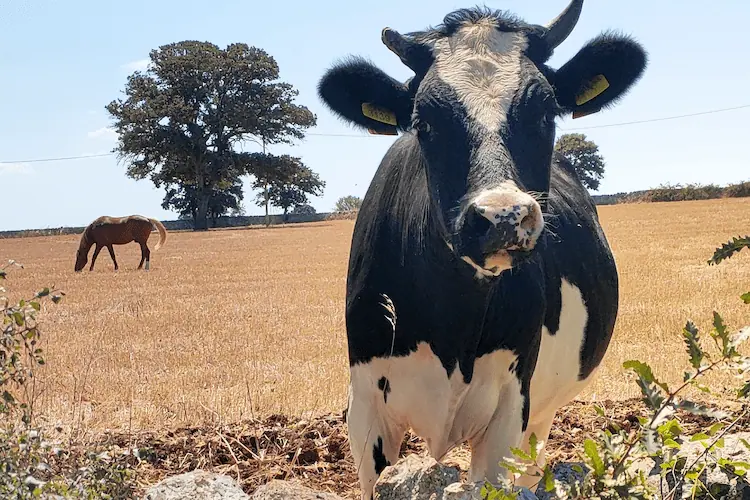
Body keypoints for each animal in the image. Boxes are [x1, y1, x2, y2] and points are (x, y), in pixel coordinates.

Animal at [316, 1, 648, 498]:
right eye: (424, 123)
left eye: (546, 114)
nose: (502, 216)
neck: (453, 325)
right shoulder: (366, 412)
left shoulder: (510, 411)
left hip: (542, 413)